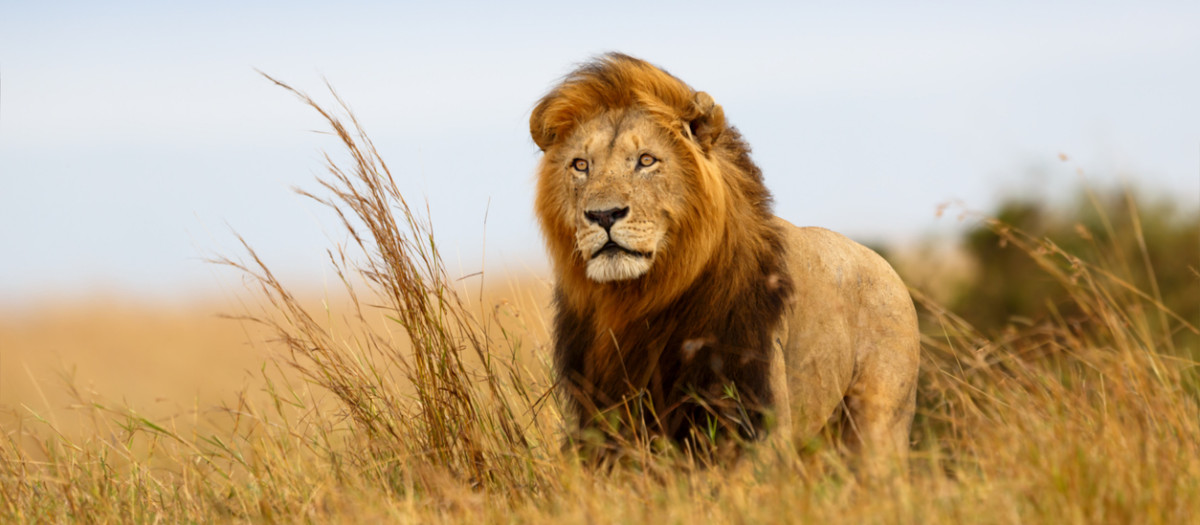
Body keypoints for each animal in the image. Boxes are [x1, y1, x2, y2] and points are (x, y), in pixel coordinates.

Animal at [530, 53, 920, 473]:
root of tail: (887, 268)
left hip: (878, 424)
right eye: (580, 165)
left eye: (646, 160)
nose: (603, 215)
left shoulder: (754, 413)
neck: (639, 299)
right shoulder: (602, 417)